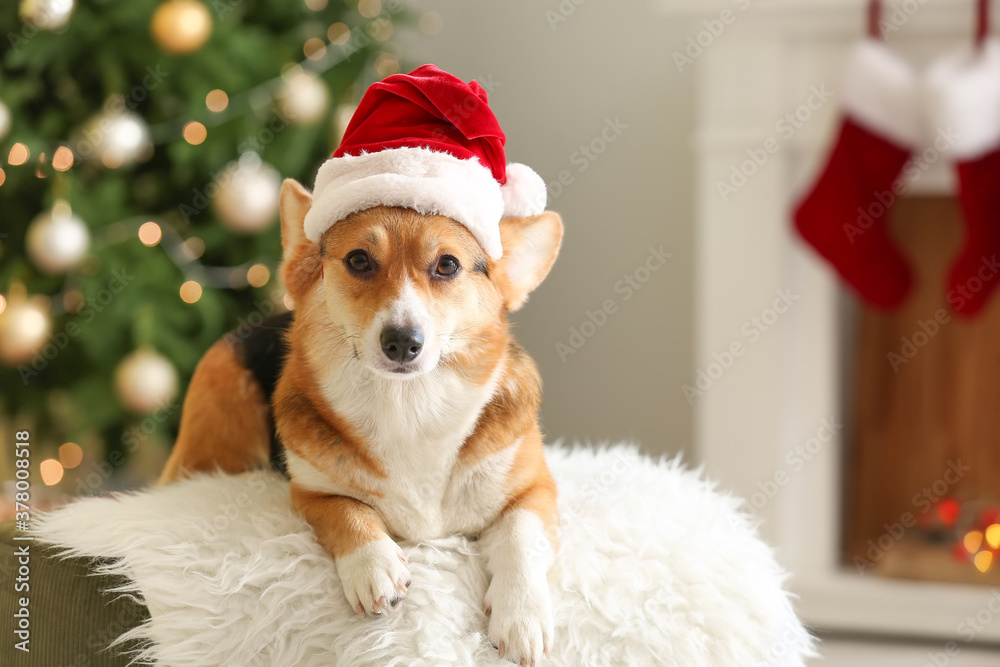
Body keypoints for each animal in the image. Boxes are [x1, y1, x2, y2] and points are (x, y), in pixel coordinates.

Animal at [160, 180, 560, 664]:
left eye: (447, 265)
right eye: (358, 261)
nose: (402, 341)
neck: (407, 406)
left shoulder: (535, 488)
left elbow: (521, 535)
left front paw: (523, 617)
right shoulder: (311, 492)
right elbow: (348, 511)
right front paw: (374, 568)